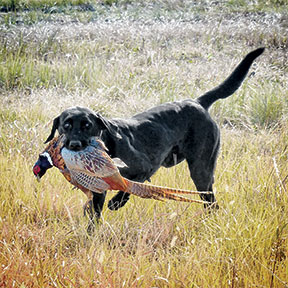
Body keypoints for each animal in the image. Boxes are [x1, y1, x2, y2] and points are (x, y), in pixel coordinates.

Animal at [45, 47, 266, 218]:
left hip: (201, 169)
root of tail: (197, 102)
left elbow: (129, 188)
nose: (74, 145)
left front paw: (116, 203)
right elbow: (94, 215)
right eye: (66, 125)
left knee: (210, 200)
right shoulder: (97, 189)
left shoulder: (145, 167)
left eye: (87, 125)